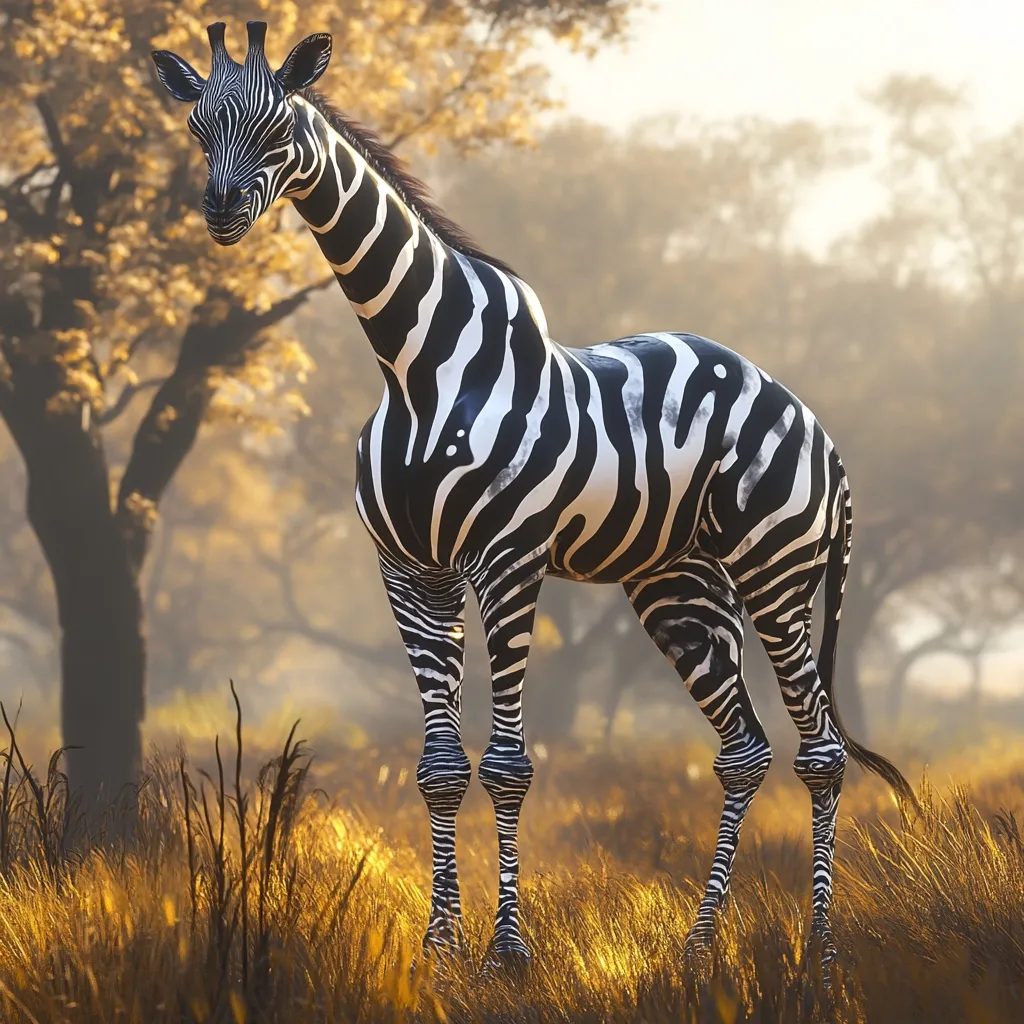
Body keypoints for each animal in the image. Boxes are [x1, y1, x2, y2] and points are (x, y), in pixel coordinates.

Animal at [153, 21, 915, 974]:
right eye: (195, 128)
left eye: (279, 124)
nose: (220, 211)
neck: (416, 369)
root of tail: (806, 415)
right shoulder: (409, 573)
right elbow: (440, 769)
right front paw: (441, 947)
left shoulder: (509, 561)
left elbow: (509, 765)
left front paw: (508, 951)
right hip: (681, 587)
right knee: (743, 750)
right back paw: (698, 947)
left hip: (777, 568)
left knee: (820, 749)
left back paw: (818, 953)